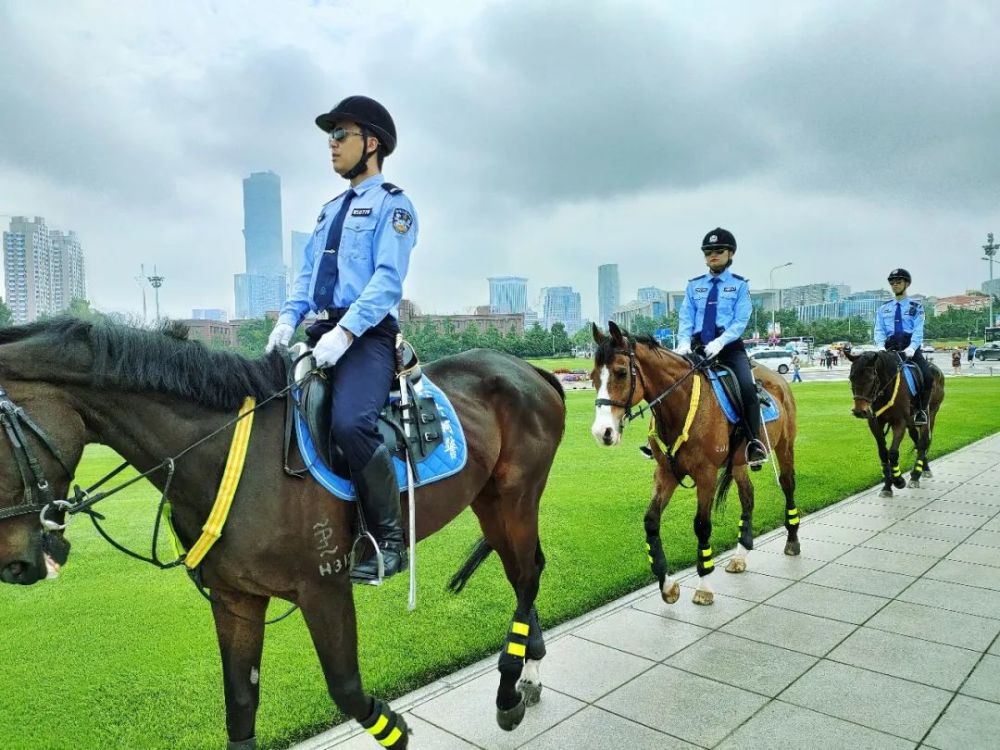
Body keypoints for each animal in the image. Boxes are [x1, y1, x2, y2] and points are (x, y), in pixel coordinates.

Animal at [0, 320, 568, 748]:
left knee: (526, 574)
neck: (229, 453)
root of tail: (530, 369)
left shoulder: (325, 589)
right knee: (523, 573)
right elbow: (240, 706)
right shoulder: (235, 599)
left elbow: (348, 691)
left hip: (515, 496)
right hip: (488, 500)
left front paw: (398, 727)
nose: (14, 564)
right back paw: (530, 668)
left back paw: (509, 689)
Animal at [588, 326, 800, 608]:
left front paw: (704, 585)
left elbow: (702, 525)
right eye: (592, 377)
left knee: (787, 485)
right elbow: (651, 521)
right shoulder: (665, 473)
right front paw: (666, 584)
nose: (603, 432)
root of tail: (778, 379)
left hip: (785, 446)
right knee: (748, 496)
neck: (681, 405)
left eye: (621, 372)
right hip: (738, 462)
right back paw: (741, 554)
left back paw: (792, 540)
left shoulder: (706, 475)